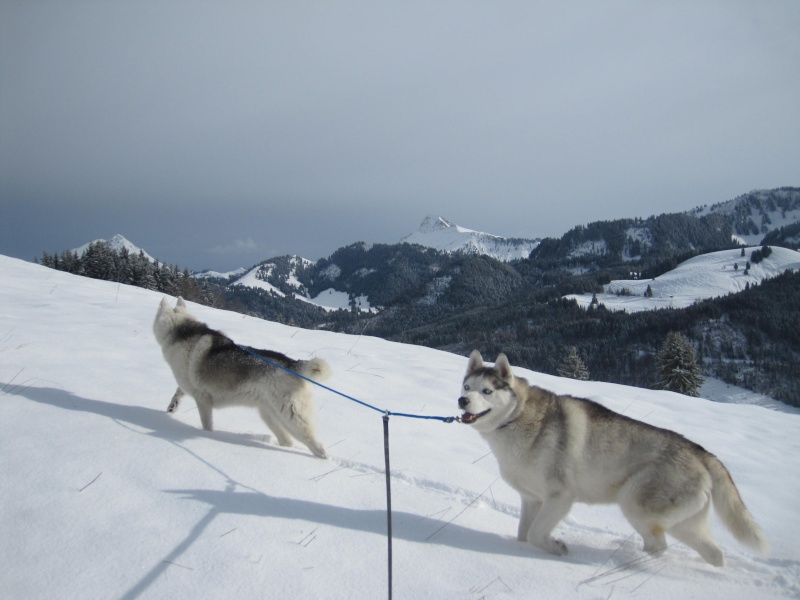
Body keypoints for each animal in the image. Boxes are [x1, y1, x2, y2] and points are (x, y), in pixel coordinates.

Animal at [152, 296, 330, 460]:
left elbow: (207, 425)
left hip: (291, 417)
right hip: (269, 413)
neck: (180, 330)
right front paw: (173, 406)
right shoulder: (188, 386)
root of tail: (293, 364)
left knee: (317, 446)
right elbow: (178, 391)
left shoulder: (202, 399)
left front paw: (208, 436)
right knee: (287, 441)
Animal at [460, 350, 772, 564]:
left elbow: (536, 535)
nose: (462, 401)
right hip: (684, 523)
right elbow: (524, 535)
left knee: (659, 546)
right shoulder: (532, 499)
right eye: (467, 387)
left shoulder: (560, 497)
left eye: (487, 391)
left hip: (636, 505)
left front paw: (557, 548)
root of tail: (700, 451)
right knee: (714, 554)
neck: (517, 417)